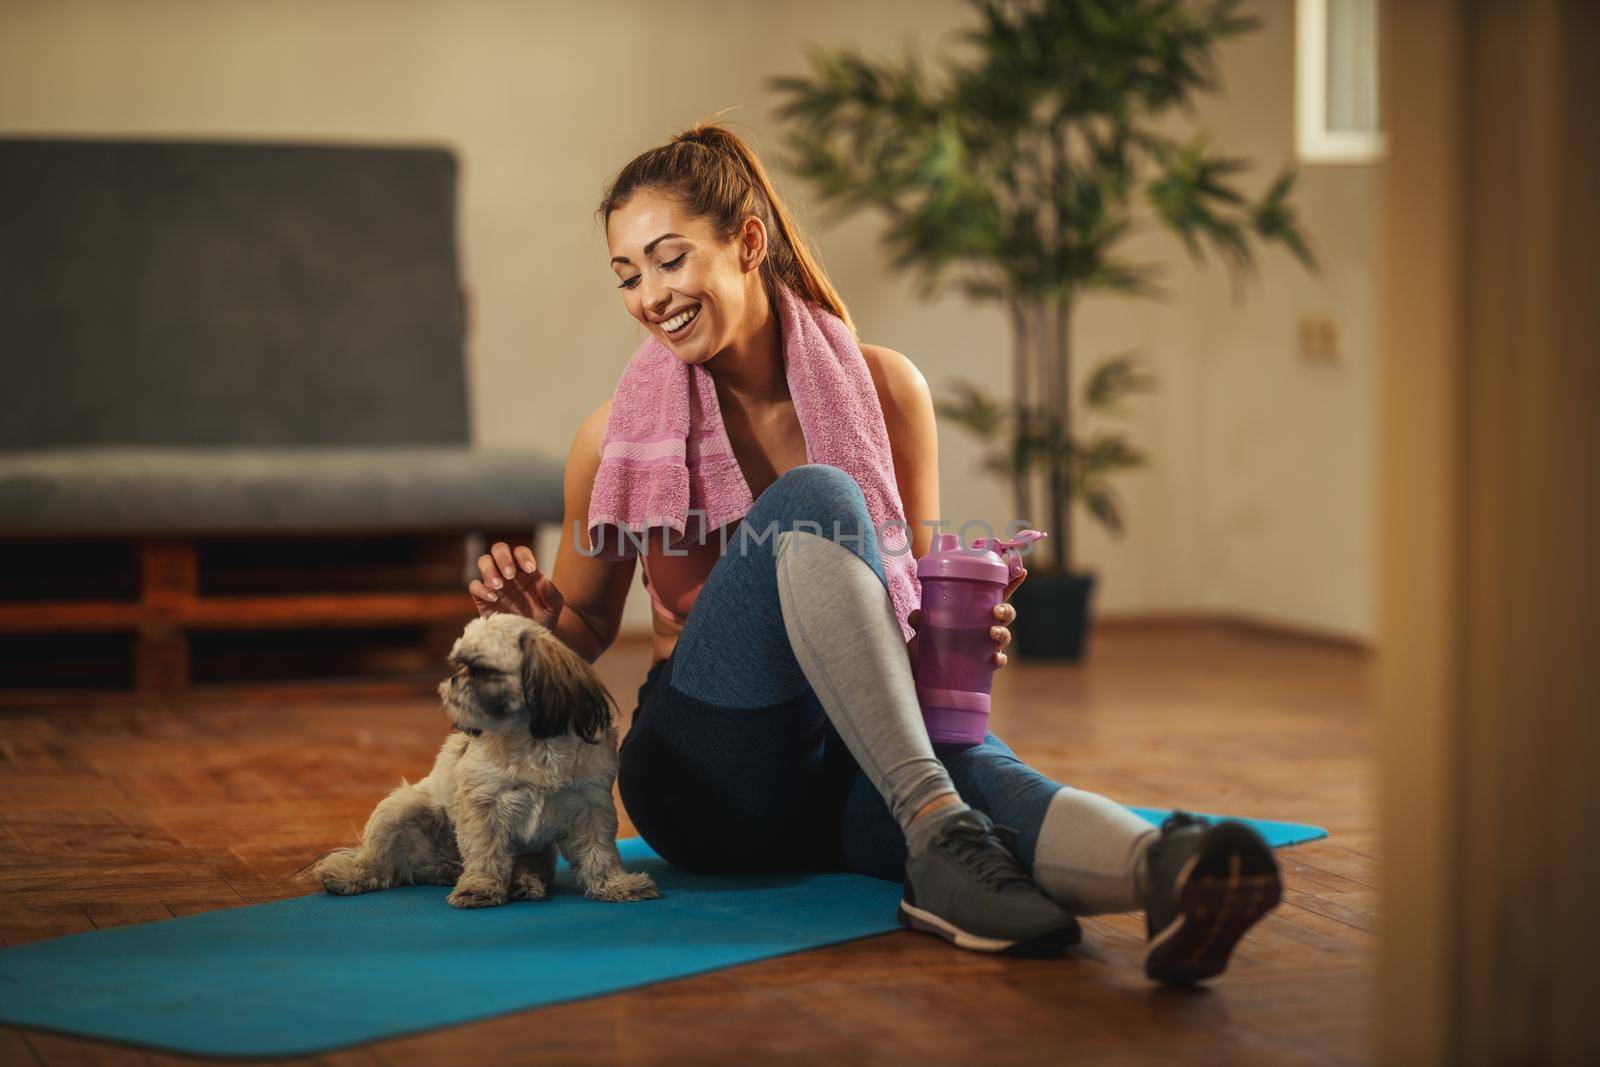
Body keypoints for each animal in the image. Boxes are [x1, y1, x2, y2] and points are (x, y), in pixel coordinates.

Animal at [312, 614, 656, 908]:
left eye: (483, 670)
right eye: (459, 665)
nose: (454, 679)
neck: (530, 742)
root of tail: (442, 864)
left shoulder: (591, 806)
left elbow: (600, 852)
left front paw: (614, 884)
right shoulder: (483, 806)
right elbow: (485, 852)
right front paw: (482, 887)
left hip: (539, 851)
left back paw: (522, 882)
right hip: (398, 811)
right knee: (381, 863)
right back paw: (350, 875)